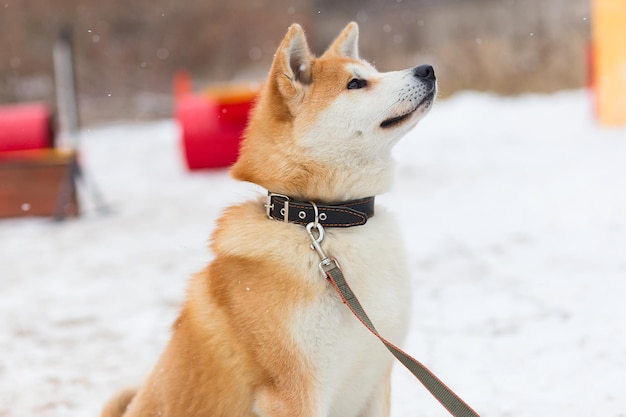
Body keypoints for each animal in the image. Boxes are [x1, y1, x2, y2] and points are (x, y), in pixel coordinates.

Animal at [101, 22, 434, 416]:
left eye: (374, 71)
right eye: (355, 84)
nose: (427, 69)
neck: (322, 218)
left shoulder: (376, 380)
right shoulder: (295, 394)